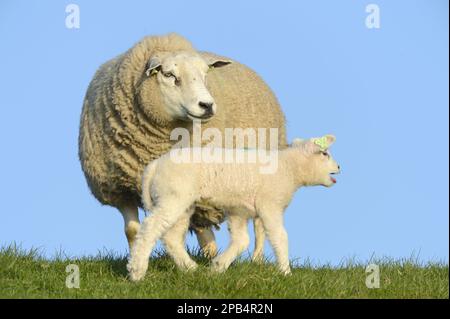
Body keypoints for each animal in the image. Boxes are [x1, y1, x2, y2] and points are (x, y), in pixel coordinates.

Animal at [78, 33, 284, 258]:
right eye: (169, 74)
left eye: (205, 74)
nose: (207, 105)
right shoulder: (120, 189)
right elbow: (132, 230)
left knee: (259, 223)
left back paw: (256, 259)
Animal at [125, 135, 338, 282]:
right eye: (324, 153)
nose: (339, 167)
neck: (289, 169)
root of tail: (154, 166)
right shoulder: (270, 205)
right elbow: (280, 237)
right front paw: (285, 272)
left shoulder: (239, 211)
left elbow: (241, 240)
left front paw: (218, 267)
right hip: (172, 197)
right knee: (149, 229)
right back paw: (137, 271)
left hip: (180, 202)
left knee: (172, 238)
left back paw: (190, 268)